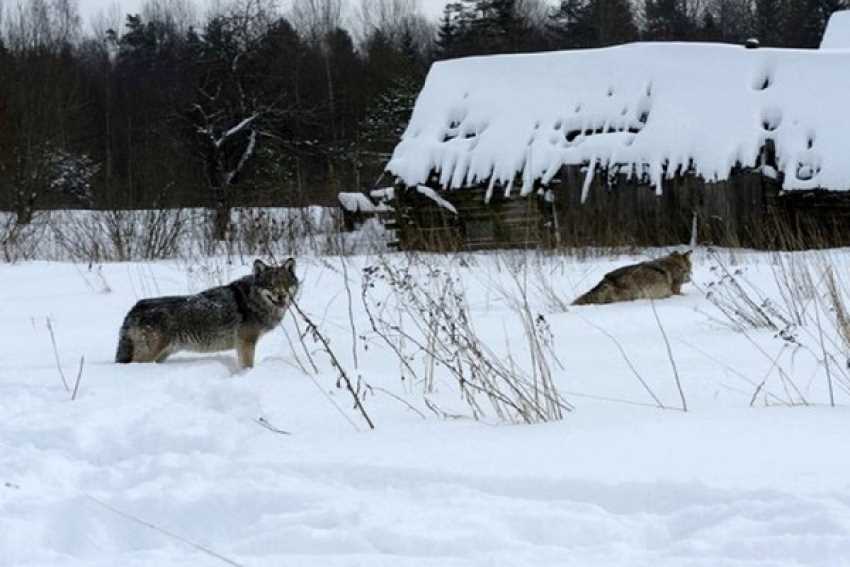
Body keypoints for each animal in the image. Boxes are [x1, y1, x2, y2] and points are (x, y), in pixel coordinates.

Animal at [112, 258, 298, 368]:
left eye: (285, 283)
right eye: (271, 285)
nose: (282, 295)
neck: (252, 300)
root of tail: (135, 308)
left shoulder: (242, 345)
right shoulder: (246, 343)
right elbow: (247, 366)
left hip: (162, 355)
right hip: (149, 355)